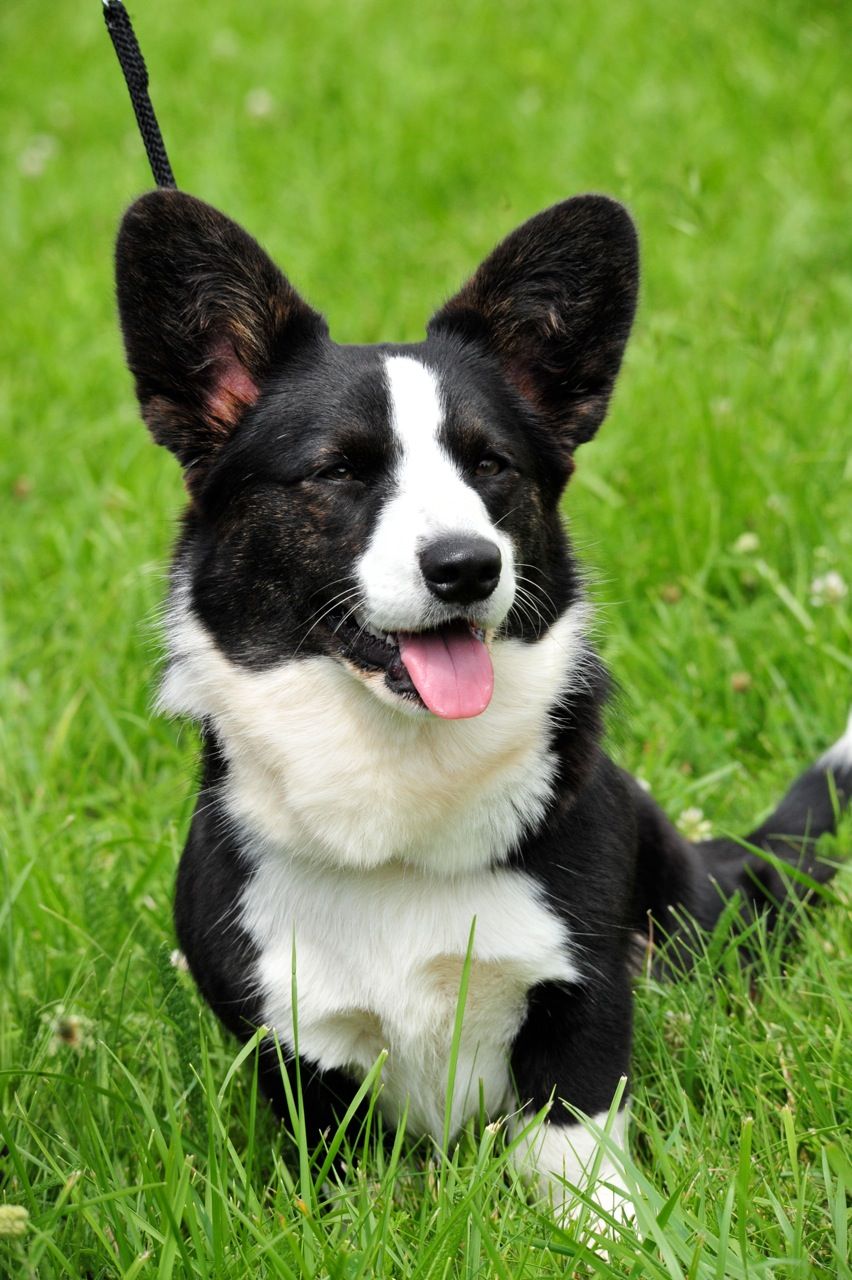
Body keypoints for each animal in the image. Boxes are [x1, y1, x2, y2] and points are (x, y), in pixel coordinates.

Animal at [114, 189, 850, 1221]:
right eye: (339, 471)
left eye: (492, 464)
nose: (466, 565)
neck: (400, 792)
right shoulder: (300, 1061)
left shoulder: (578, 1010)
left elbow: (584, 1166)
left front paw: (615, 1236)